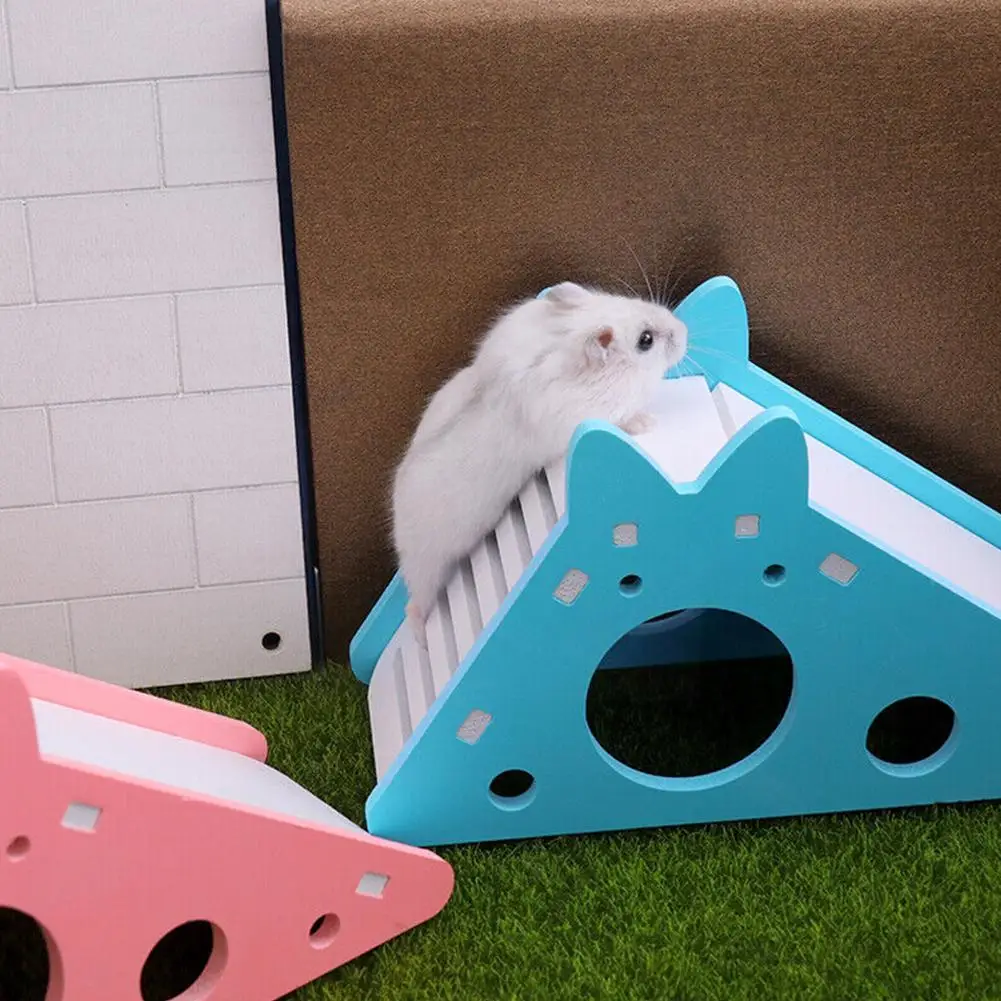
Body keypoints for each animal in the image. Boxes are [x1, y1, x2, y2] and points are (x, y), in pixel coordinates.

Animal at [391, 281, 688, 633]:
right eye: (646, 340)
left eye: (625, 298)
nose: (686, 331)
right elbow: (625, 419)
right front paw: (646, 422)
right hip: (428, 564)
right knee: (416, 601)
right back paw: (417, 628)